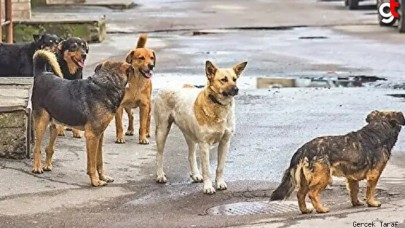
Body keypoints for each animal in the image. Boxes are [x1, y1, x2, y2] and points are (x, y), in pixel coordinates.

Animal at [32, 49, 133, 185]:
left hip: (55, 125)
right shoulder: (92, 136)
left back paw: (47, 165)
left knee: (49, 148)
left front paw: (103, 177)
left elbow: (99, 161)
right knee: (37, 148)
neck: (105, 84)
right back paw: (37, 167)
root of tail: (41, 73)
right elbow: (92, 164)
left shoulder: (99, 135)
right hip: (41, 123)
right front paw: (95, 181)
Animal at [152, 60, 245, 194]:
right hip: (162, 130)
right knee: (159, 154)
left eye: (235, 79)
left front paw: (220, 183)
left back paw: (195, 175)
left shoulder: (225, 142)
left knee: (190, 155)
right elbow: (207, 170)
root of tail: (167, 85)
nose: (236, 89)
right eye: (223, 79)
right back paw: (160, 175)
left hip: (189, 134)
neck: (218, 106)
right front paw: (208, 187)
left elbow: (220, 167)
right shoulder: (204, 144)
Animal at [270, 110, 402, 214]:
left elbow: (354, 191)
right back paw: (321, 209)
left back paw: (305, 210)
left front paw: (356, 202)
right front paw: (372, 203)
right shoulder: (374, 174)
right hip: (323, 177)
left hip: (305, 180)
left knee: (300, 194)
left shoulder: (351, 177)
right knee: (312, 194)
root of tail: (303, 149)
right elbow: (370, 191)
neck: (378, 129)